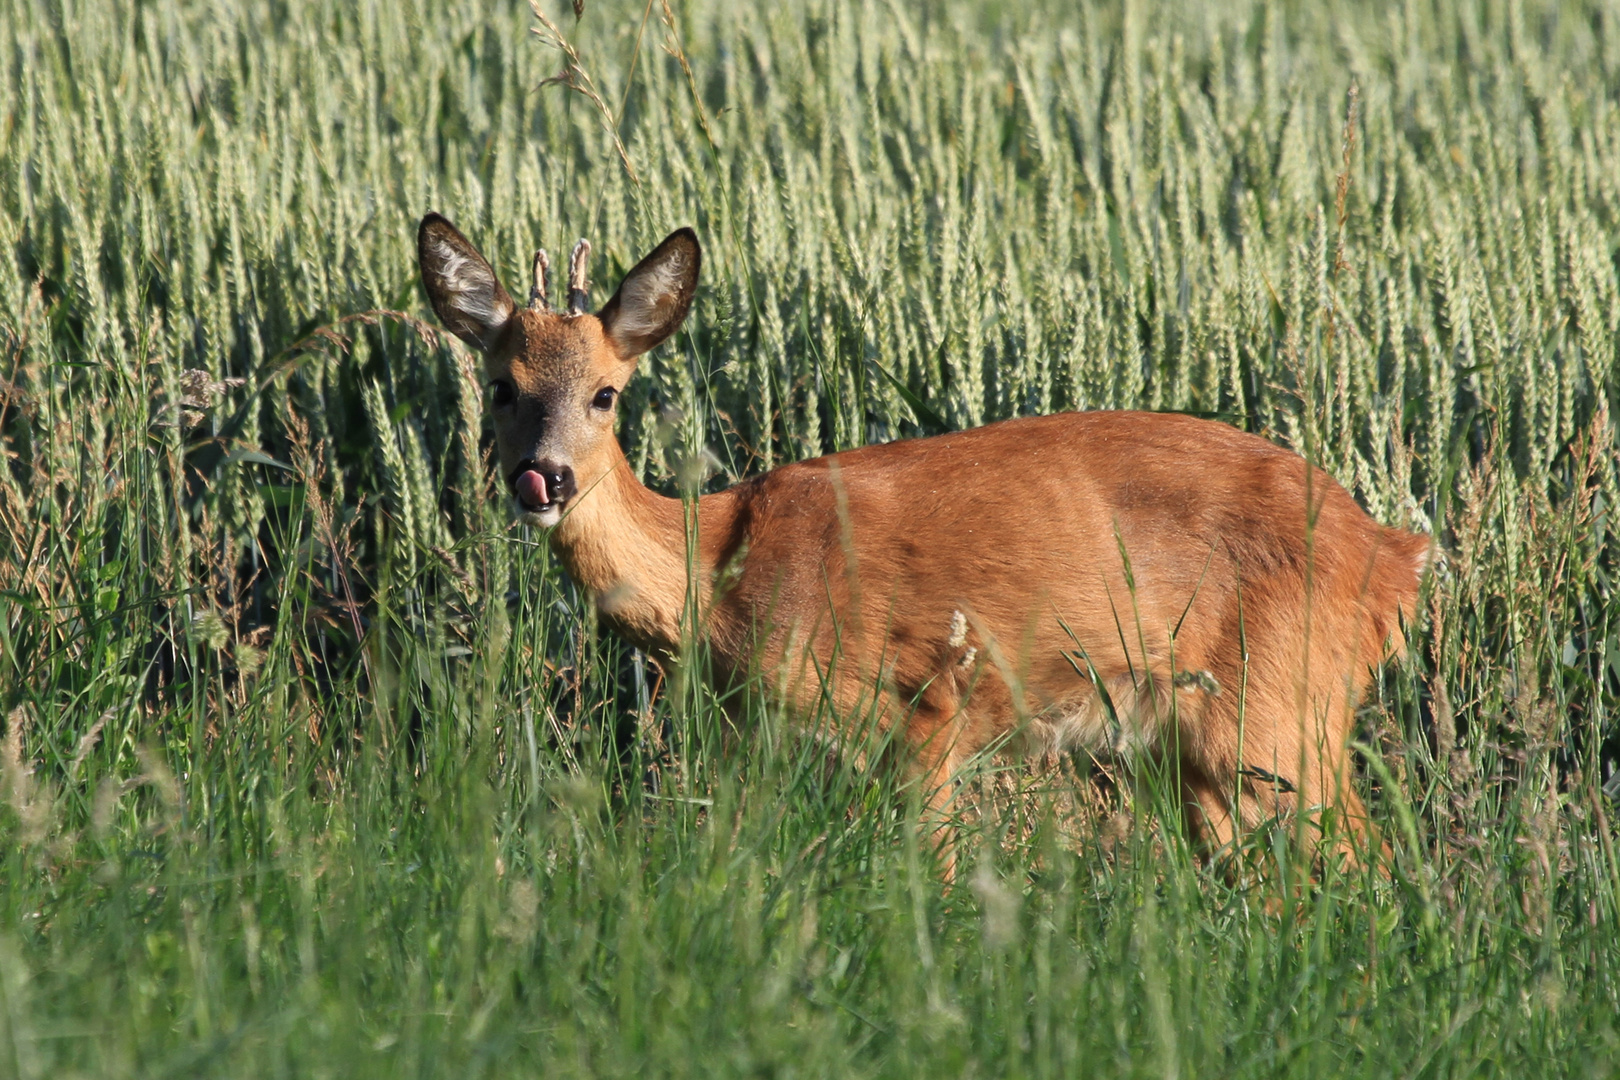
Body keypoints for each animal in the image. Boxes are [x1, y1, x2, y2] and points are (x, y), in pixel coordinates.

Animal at [417, 215, 1432, 867]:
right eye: (501, 386)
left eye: (605, 393)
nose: (543, 478)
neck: (719, 571)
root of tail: (1392, 554)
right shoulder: (762, 741)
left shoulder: (925, 703)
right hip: (1206, 747)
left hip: (1283, 703)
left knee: (1370, 859)